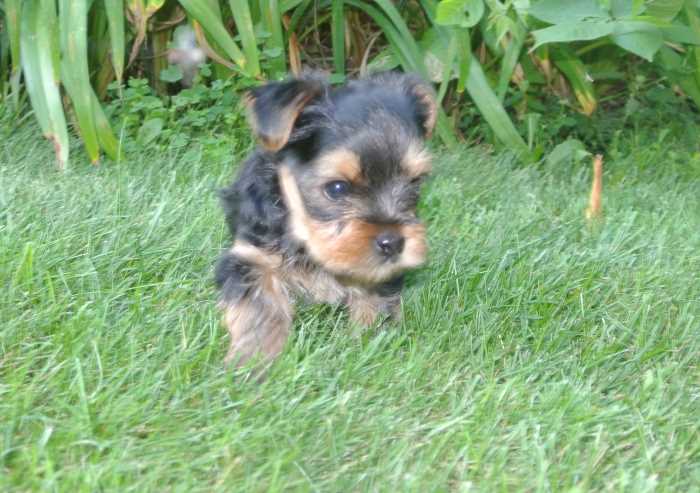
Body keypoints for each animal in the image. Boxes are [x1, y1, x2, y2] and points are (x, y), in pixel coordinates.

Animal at [213, 72, 434, 366]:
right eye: (337, 188)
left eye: (415, 182)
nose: (393, 243)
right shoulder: (251, 258)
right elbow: (261, 308)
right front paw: (253, 362)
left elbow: (374, 303)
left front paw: (369, 348)